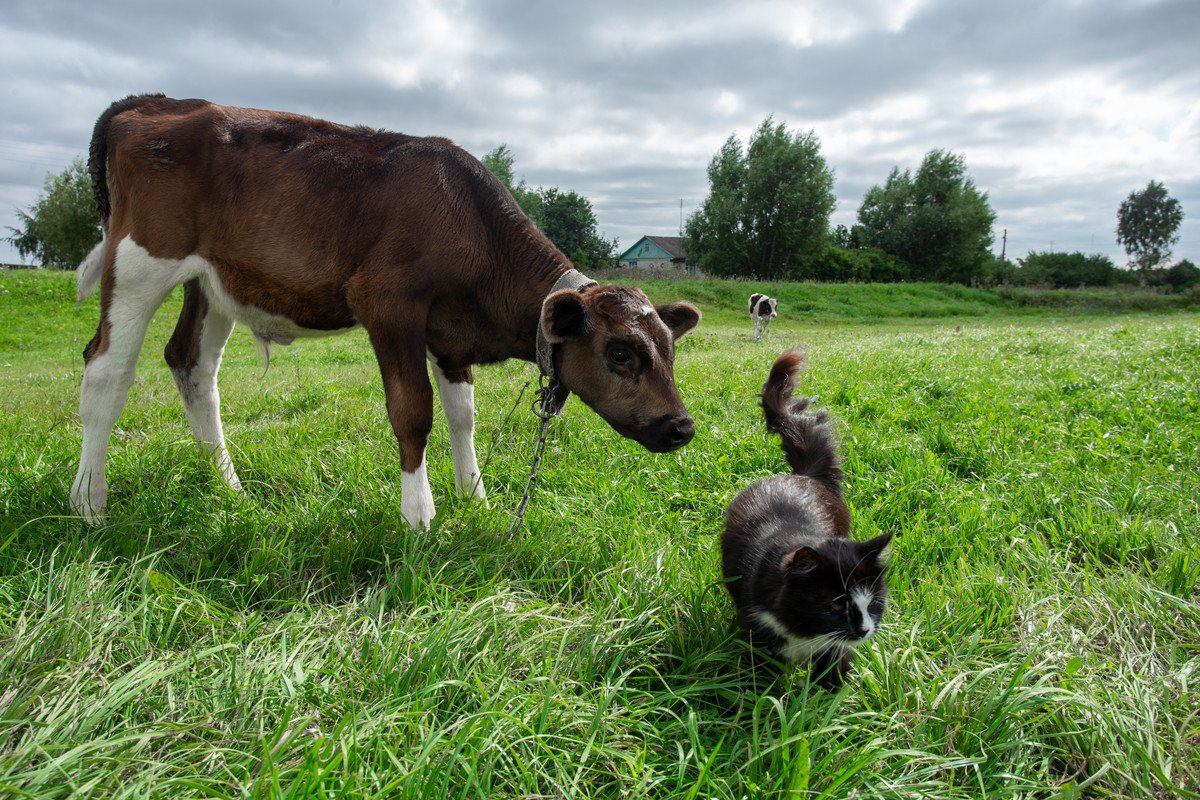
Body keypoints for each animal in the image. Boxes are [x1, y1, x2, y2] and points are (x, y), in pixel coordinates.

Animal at [70, 94, 700, 527]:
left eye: (670, 350)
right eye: (620, 354)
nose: (682, 426)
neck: (468, 221)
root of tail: (155, 103)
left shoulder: (449, 329)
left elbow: (462, 413)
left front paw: (475, 496)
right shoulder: (390, 305)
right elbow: (413, 411)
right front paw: (419, 515)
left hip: (213, 281)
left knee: (192, 367)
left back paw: (229, 489)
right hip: (140, 261)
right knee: (105, 370)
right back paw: (89, 502)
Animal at [720, 350, 892, 690]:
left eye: (873, 603)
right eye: (837, 605)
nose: (864, 630)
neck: (806, 631)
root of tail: (805, 476)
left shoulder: (834, 647)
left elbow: (833, 673)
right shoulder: (757, 627)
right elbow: (763, 678)